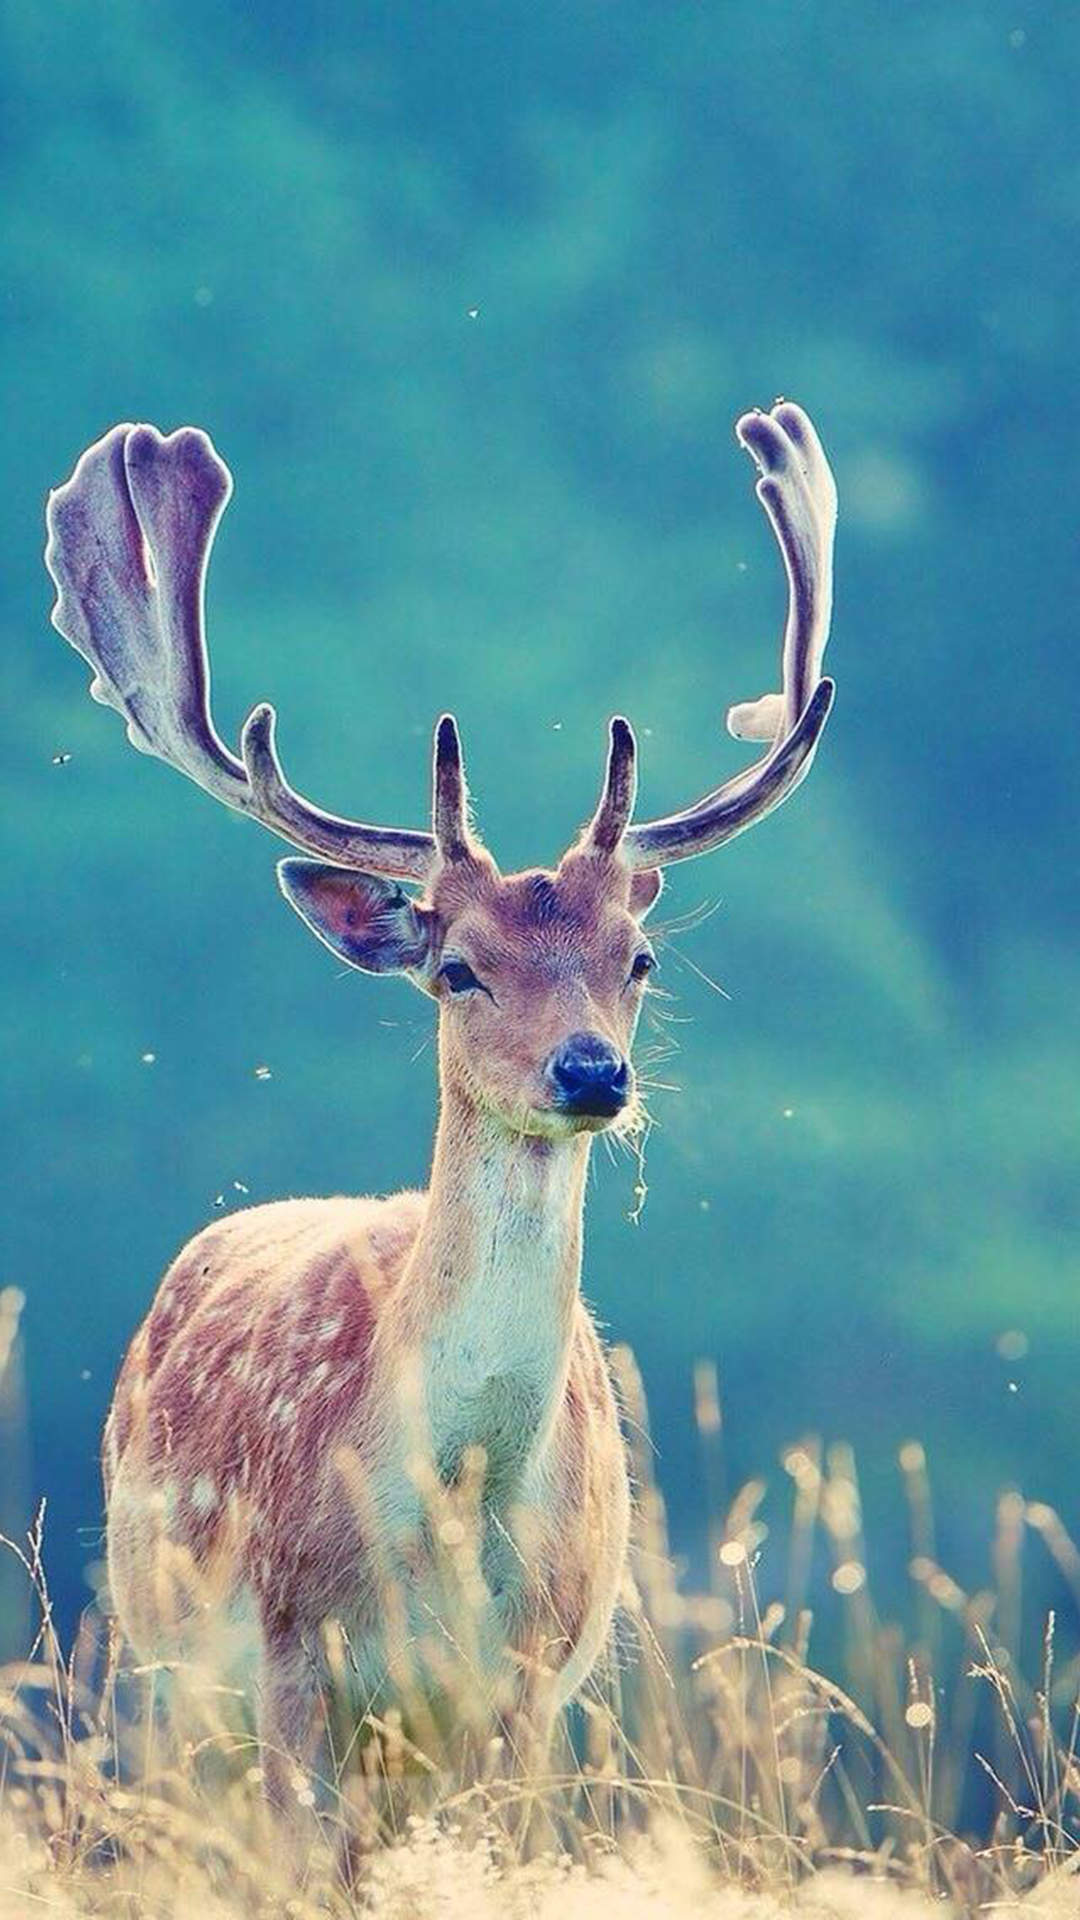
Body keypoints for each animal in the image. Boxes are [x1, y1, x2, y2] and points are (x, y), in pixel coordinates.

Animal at [44, 399, 837, 1823]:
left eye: (638, 957)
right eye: (458, 966)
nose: (592, 1072)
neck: (450, 1524)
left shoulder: (528, 1686)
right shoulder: (290, 1657)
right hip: (162, 1672)